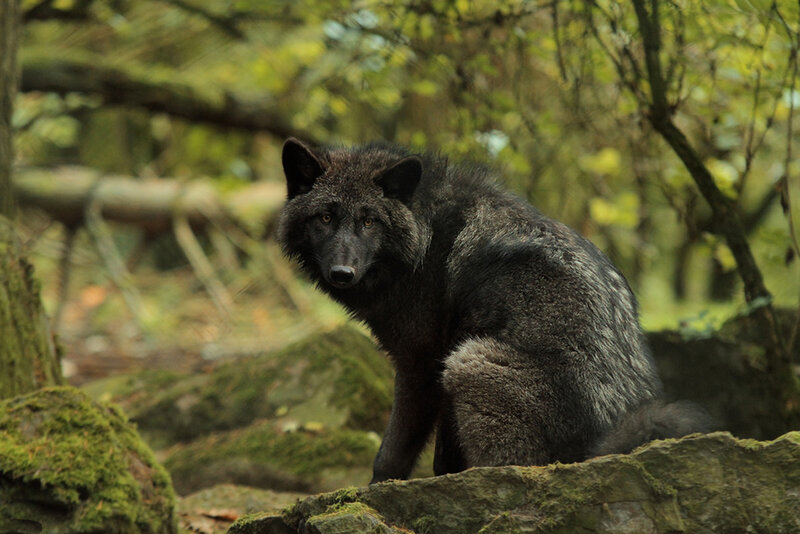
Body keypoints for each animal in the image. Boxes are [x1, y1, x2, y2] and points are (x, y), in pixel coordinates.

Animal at [277, 138, 714, 483]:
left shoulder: (423, 362)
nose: (342, 273)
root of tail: (605, 442)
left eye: (369, 221)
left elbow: (396, 452)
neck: (425, 236)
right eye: (326, 217)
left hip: (468, 362)